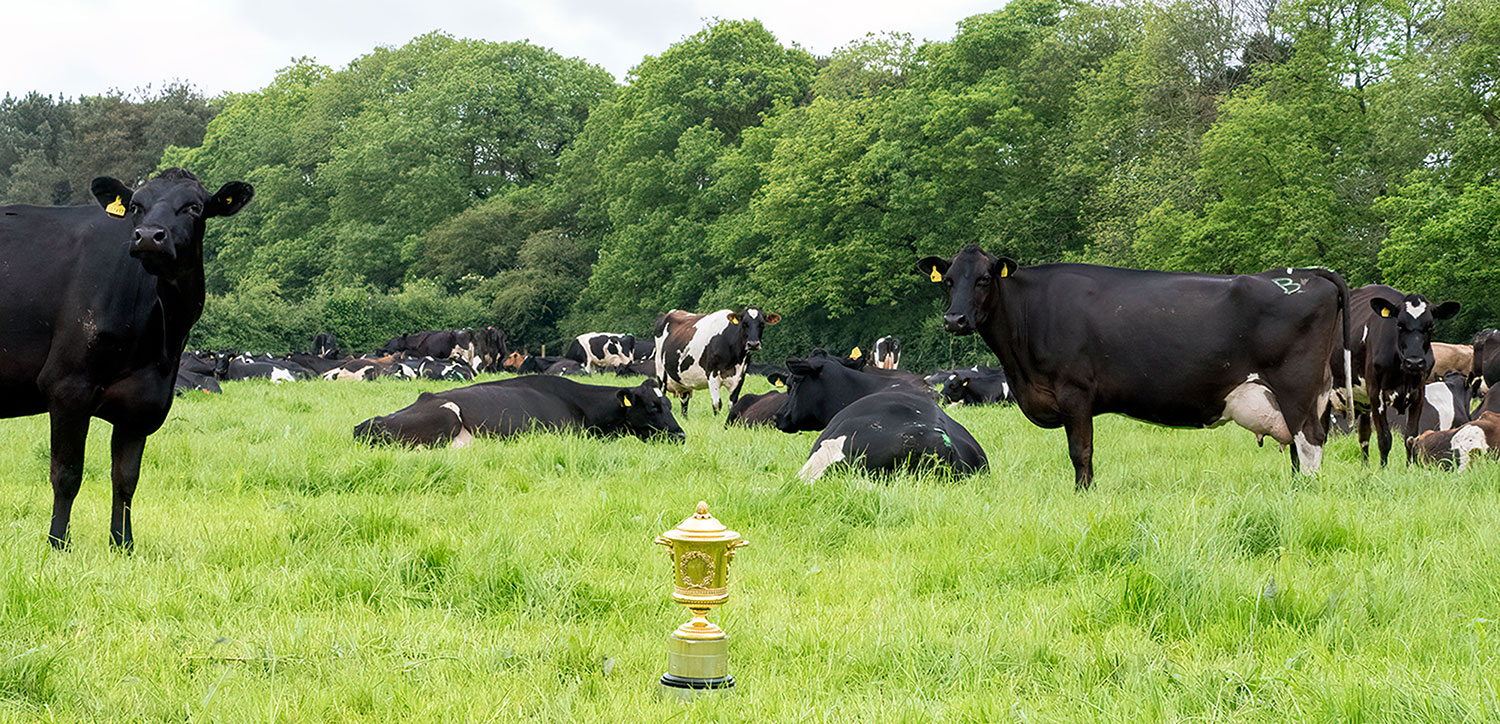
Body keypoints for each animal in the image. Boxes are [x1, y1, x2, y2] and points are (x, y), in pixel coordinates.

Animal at [0, 168, 251, 548]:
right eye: (136, 206)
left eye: (194, 207)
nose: (148, 236)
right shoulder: (67, 385)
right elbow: (67, 474)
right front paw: (58, 543)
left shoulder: (144, 402)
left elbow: (126, 479)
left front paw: (123, 545)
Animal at [918, 246, 1351, 489]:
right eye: (948, 280)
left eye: (984, 279)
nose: (954, 320)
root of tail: (1306, 274)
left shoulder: (1075, 392)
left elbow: (1081, 452)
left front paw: (1083, 494)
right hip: (1304, 395)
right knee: (1298, 446)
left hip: (1295, 387)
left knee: (1309, 443)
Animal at [1337, 284, 1460, 465]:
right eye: (1400, 325)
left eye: (1430, 326)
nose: (1414, 362)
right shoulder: (1376, 394)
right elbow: (1384, 438)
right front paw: (1383, 469)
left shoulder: (1418, 394)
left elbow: (1411, 438)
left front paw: (1410, 467)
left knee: (1364, 436)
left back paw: (1365, 466)